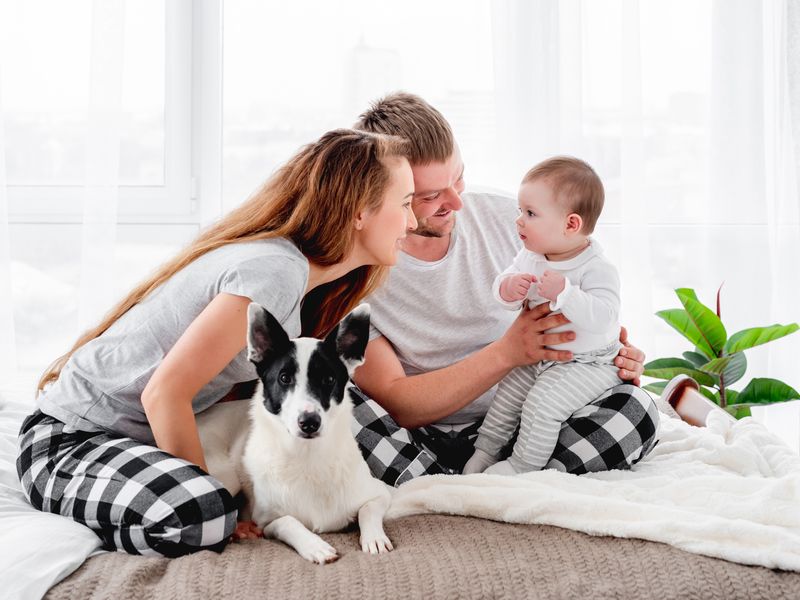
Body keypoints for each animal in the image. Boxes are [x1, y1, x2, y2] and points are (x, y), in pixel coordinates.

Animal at [195, 302, 392, 564]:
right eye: (284, 378)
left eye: (329, 379)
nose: (309, 422)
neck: (307, 457)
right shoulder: (265, 522)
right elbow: (289, 521)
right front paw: (315, 545)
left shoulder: (381, 493)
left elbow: (368, 509)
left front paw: (374, 538)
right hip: (227, 475)